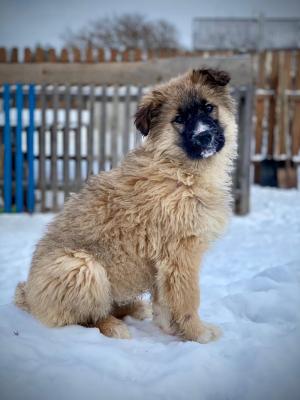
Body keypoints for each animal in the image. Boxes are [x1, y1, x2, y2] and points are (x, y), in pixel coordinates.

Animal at [15, 67, 237, 342]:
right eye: (179, 119)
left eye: (208, 107)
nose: (204, 136)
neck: (179, 170)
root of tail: (30, 299)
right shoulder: (180, 253)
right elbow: (187, 299)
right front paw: (198, 333)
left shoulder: (163, 263)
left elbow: (164, 303)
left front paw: (170, 330)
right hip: (81, 267)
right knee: (84, 318)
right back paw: (113, 326)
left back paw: (133, 308)